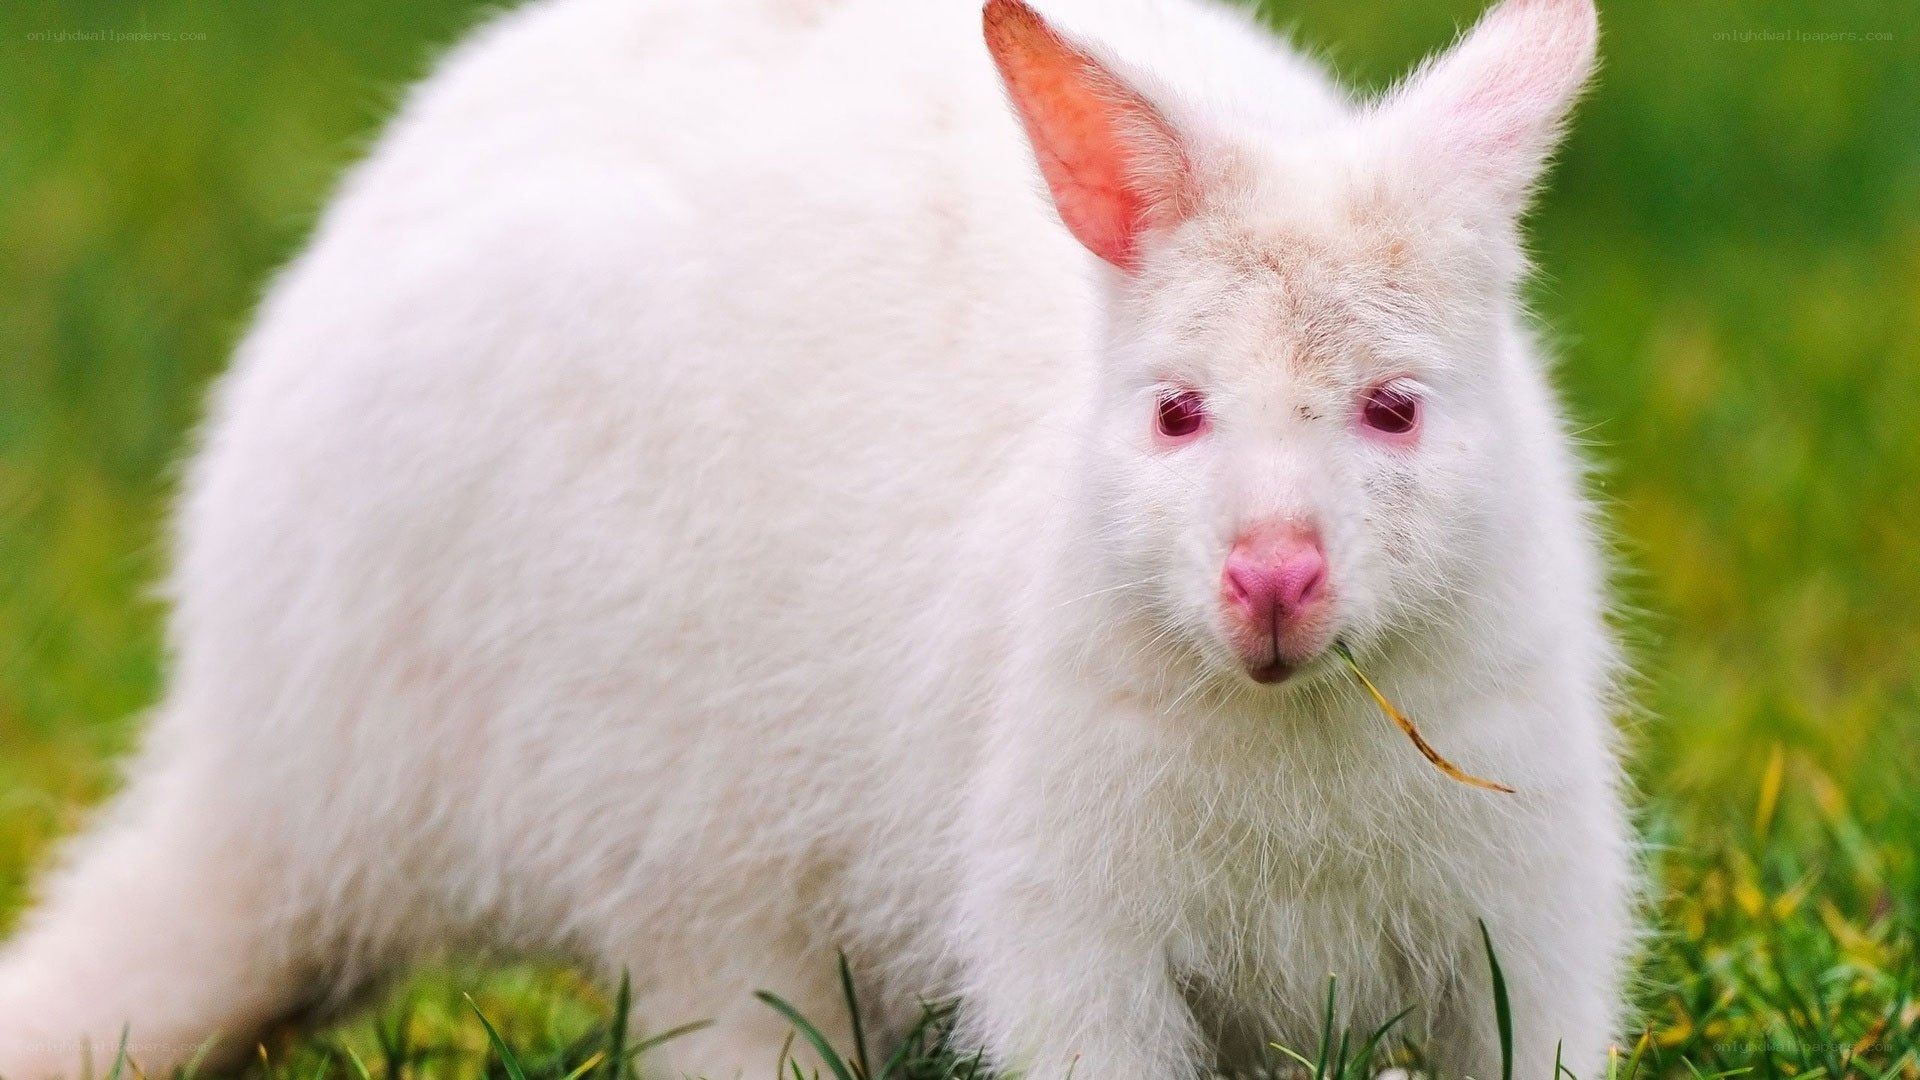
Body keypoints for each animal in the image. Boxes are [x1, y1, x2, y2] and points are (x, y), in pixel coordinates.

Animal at [0, 0, 1637, 1077]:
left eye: (1394, 409)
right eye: (1176, 413)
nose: (1273, 578)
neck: (1294, 715)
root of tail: (260, 767)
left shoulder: (1533, 911)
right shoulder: (1063, 919)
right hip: (665, 832)